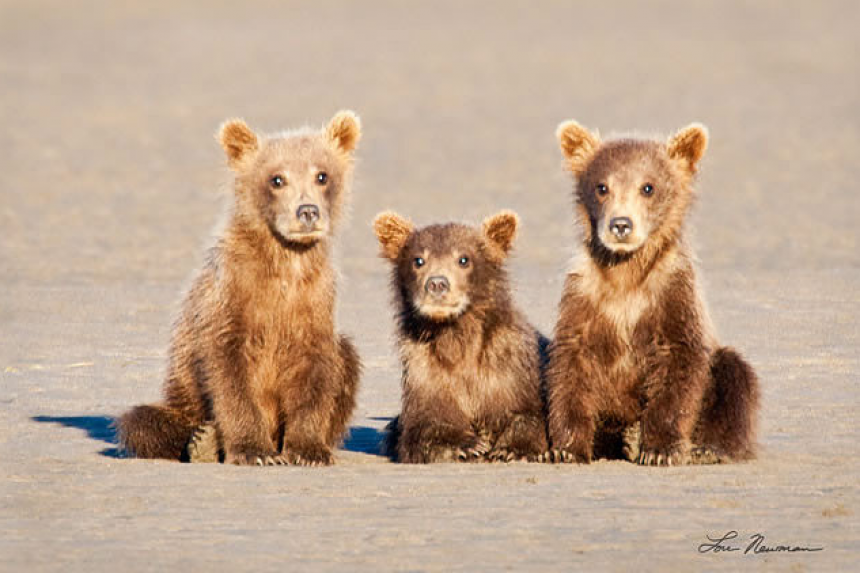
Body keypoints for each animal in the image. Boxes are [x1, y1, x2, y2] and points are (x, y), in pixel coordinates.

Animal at [115, 111, 362, 466]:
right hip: (182, 400)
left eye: (322, 175)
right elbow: (229, 375)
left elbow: (317, 377)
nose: (307, 212)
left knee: (349, 359)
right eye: (277, 179)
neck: (285, 261)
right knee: (142, 422)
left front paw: (309, 450)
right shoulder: (232, 297)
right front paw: (253, 451)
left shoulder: (315, 300)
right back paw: (202, 441)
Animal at [373, 210, 549, 463]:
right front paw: (468, 444)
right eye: (418, 260)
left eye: (463, 259)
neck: (455, 335)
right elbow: (424, 426)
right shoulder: (425, 371)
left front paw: (511, 449)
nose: (437, 283)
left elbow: (527, 414)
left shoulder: (509, 368)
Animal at [545, 119, 760, 465]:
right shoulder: (585, 296)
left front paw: (660, 449)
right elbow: (570, 367)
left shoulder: (672, 293)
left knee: (735, 376)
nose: (621, 224)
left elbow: (679, 365)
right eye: (601, 187)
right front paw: (566, 448)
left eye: (648, 187)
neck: (625, 274)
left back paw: (706, 448)